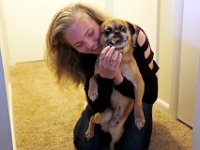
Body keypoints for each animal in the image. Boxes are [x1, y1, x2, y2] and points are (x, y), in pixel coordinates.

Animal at [85, 19, 145, 150]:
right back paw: (89, 132)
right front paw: (92, 92)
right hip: (104, 115)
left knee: (112, 143)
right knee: (92, 118)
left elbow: (138, 103)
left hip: (117, 133)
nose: (117, 32)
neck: (120, 60)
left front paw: (139, 117)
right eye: (107, 31)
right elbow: (92, 78)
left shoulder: (139, 83)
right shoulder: (99, 73)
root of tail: (108, 127)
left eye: (123, 28)